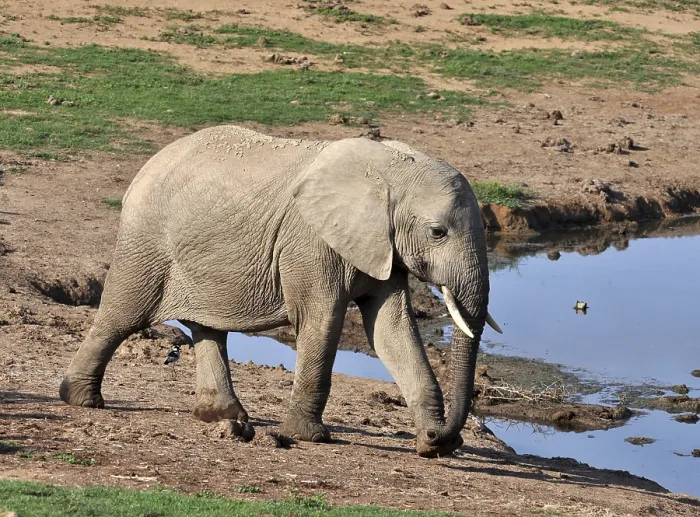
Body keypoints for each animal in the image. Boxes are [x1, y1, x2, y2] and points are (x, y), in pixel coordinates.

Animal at [59, 125, 501, 458]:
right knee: (122, 315)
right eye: (437, 232)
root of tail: (149, 163)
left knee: (207, 328)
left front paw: (433, 446)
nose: (440, 436)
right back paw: (80, 399)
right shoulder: (312, 242)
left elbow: (390, 329)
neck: (391, 169)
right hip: (146, 240)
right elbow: (322, 320)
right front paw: (309, 437)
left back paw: (225, 418)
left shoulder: (380, 244)